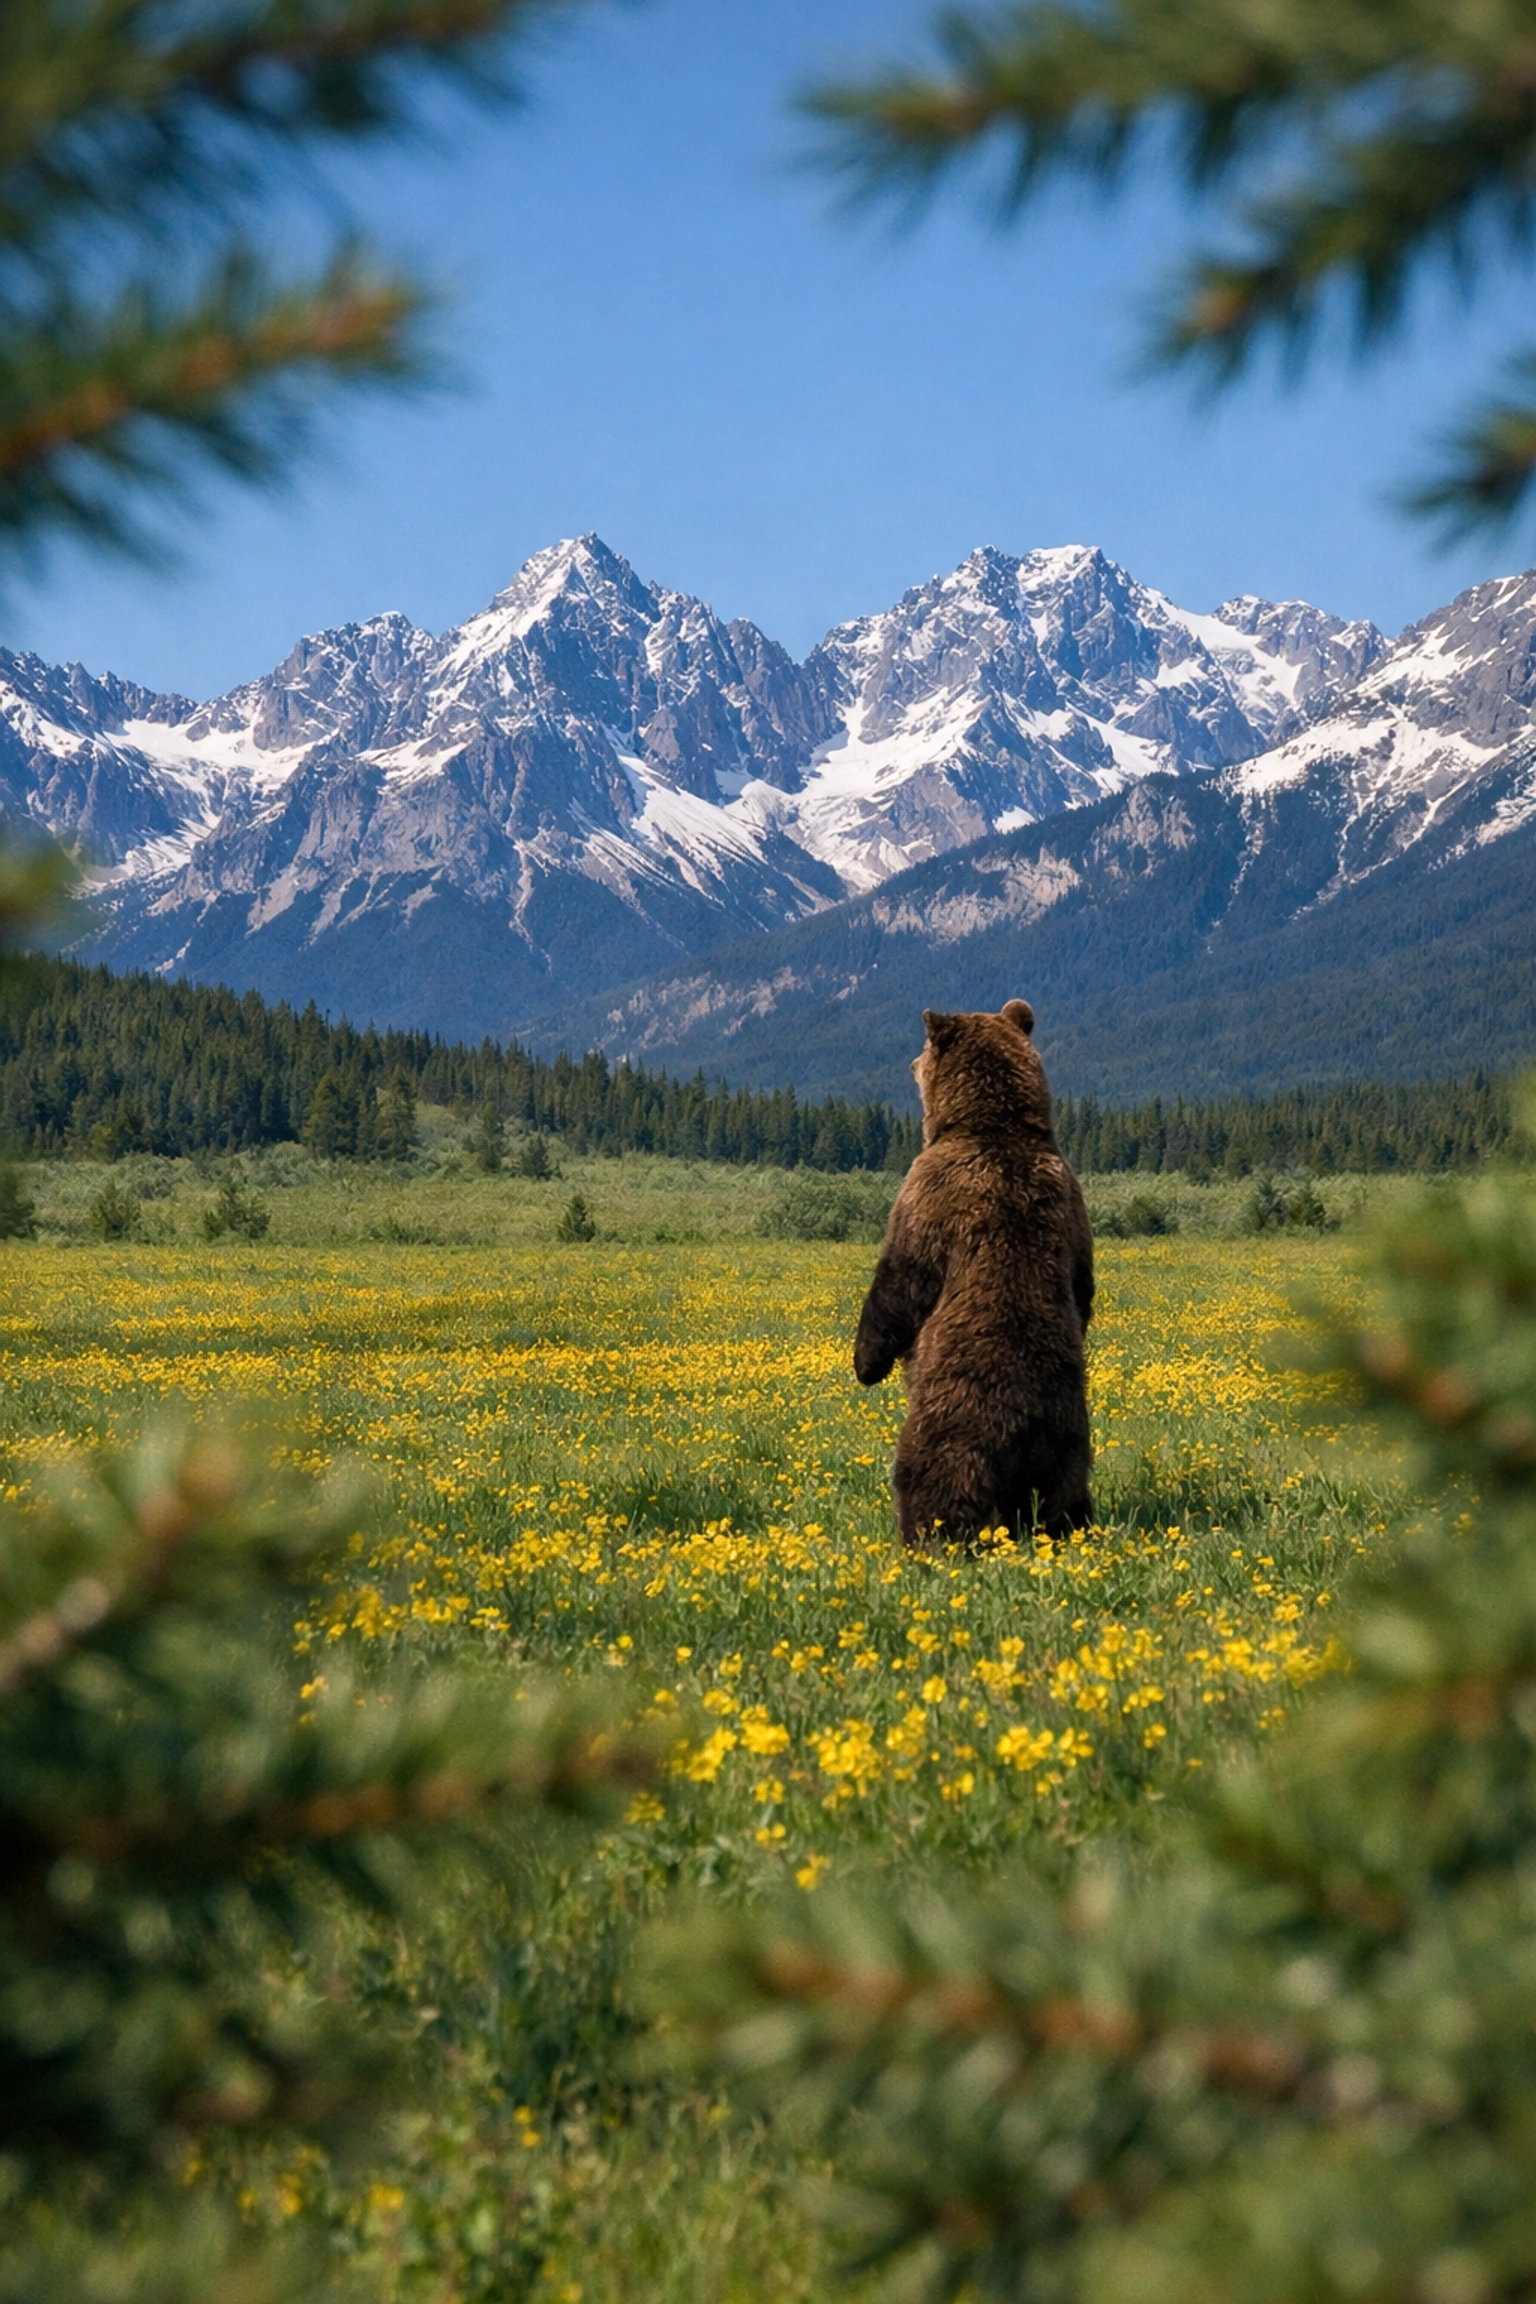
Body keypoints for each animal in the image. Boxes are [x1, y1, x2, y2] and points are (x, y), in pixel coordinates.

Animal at [853, 999, 1094, 1550]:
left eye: (922, 1052)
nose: (910, 1063)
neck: (996, 1126)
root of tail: (1026, 1421)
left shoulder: (929, 1191)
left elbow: (900, 1278)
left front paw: (866, 1362)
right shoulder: (1072, 1204)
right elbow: (1083, 1287)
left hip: (955, 1410)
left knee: (934, 1472)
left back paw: (928, 1537)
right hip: (1070, 1431)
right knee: (1066, 1489)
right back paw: (1071, 1528)